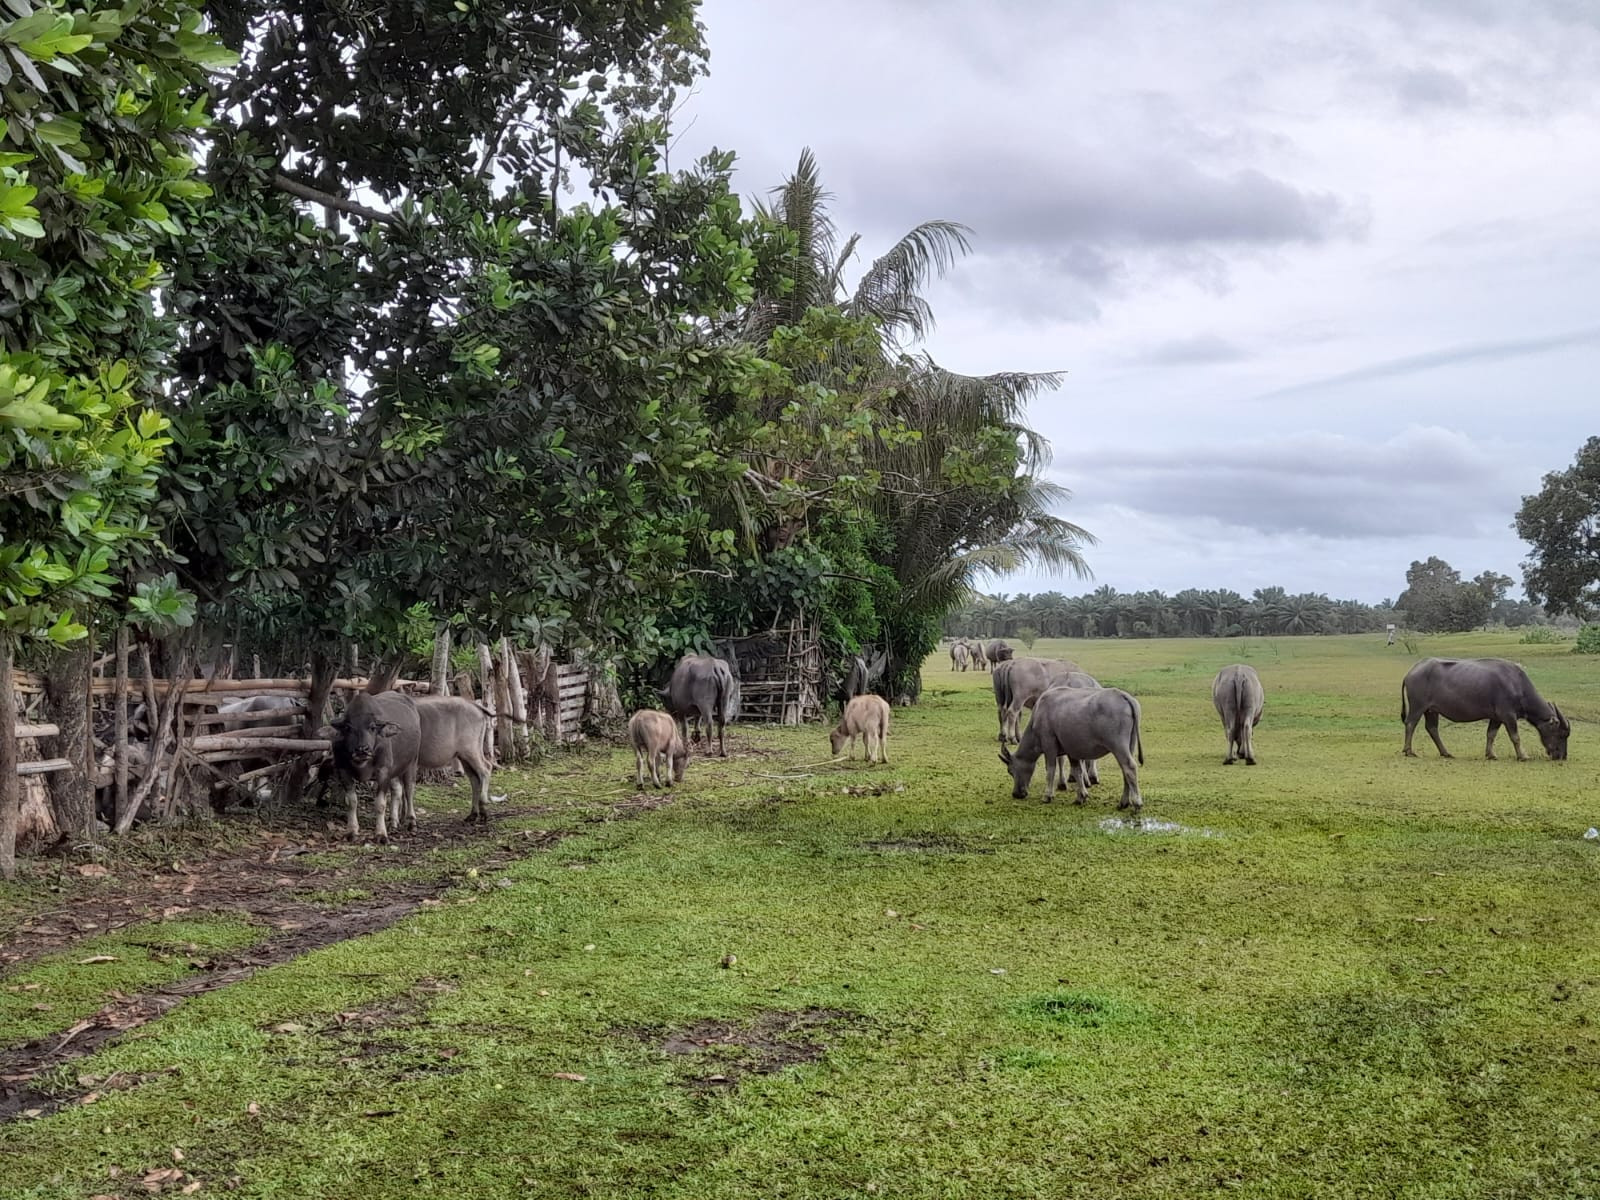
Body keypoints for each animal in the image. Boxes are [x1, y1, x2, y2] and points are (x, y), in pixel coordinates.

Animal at [998, 684, 1139, 819]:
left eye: (1010, 771)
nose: (1016, 794)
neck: (1039, 713)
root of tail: (1123, 695)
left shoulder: (1049, 745)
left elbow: (1050, 770)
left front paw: (1047, 796)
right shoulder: (1072, 752)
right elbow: (1077, 772)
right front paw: (1081, 796)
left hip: (1118, 746)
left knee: (1129, 767)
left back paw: (1137, 803)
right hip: (1130, 746)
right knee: (1125, 771)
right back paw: (1124, 803)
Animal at [1408, 659, 1568, 761]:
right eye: (1562, 735)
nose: (1562, 756)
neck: (1517, 685)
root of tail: (1413, 670)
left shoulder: (1496, 718)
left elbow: (1491, 734)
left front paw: (1490, 754)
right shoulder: (1508, 715)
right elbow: (1515, 737)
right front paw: (1523, 756)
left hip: (1431, 710)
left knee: (1432, 728)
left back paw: (1445, 753)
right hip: (1417, 707)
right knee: (1410, 724)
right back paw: (1408, 751)